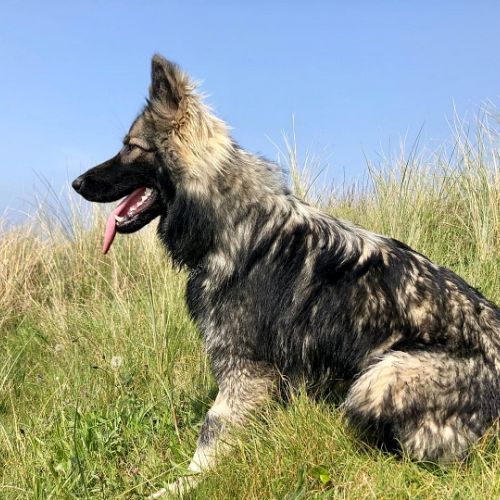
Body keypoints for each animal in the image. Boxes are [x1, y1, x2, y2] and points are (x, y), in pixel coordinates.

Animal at [72, 55, 500, 495]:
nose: (76, 183)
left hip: (380, 377)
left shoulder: (243, 369)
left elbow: (211, 431)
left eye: (131, 147)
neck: (231, 221)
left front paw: (180, 486)